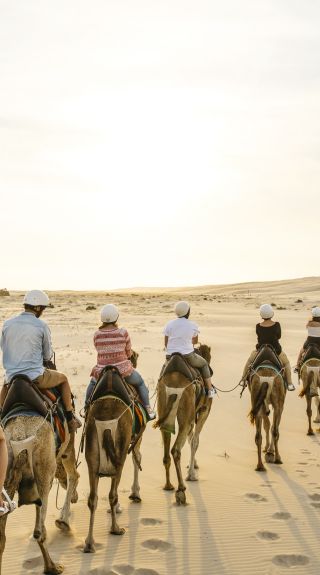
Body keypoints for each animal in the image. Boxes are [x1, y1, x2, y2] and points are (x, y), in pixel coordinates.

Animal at [0, 414, 79, 575]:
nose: (76, 497)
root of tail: (20, 436)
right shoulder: (67, 444)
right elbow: (74, 475)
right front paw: (63, 522)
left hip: (7, 474)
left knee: (1, 537)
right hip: (43, 471)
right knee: (39, 531)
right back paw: (52, 567)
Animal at [84, 362, 146, 552]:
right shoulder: (136, 438)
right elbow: (137, 457)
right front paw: (135, 494)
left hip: (91, 454)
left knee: (93, 498)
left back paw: (89, 543)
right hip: (120, 450)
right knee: (113, 493)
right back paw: (116, 529)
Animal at [155, 344, 212, 506]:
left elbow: (190, 438)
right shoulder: (204, 411)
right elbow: (194, 441)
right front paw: (191, 474)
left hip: (164, 407)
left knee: (167, 447)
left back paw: (168, 486)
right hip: (187, 412)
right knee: (176, 449)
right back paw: (181, 491)